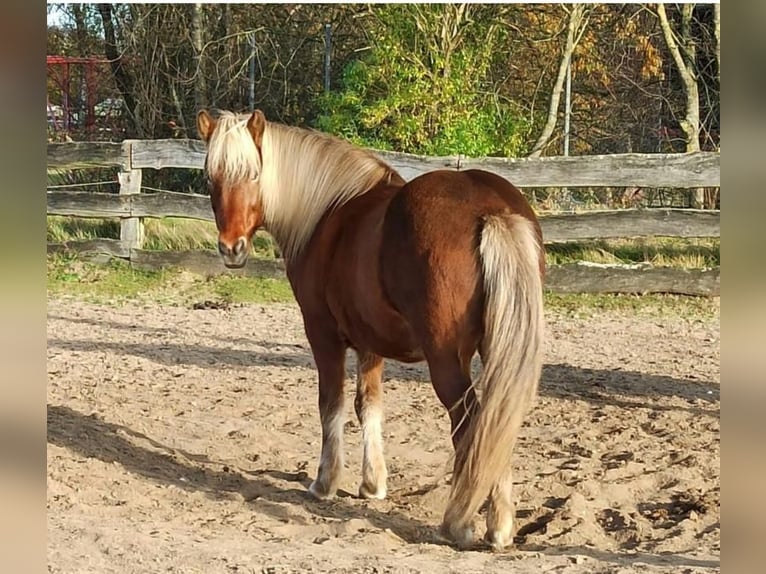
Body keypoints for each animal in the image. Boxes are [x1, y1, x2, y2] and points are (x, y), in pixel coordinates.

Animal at [196, 108, 545, 550]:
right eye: (211, 177)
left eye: (253, 173)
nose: (231, 248)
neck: (329, 214)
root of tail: (489, 210)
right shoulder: (370, 343)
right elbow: (369, 406)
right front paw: (372, 484)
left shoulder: (323, 335)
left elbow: (331, 403)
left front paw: (324, 482)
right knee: (498, 420)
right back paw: (497, 523)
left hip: (447, 361)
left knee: (472, 425)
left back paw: (465, 524)